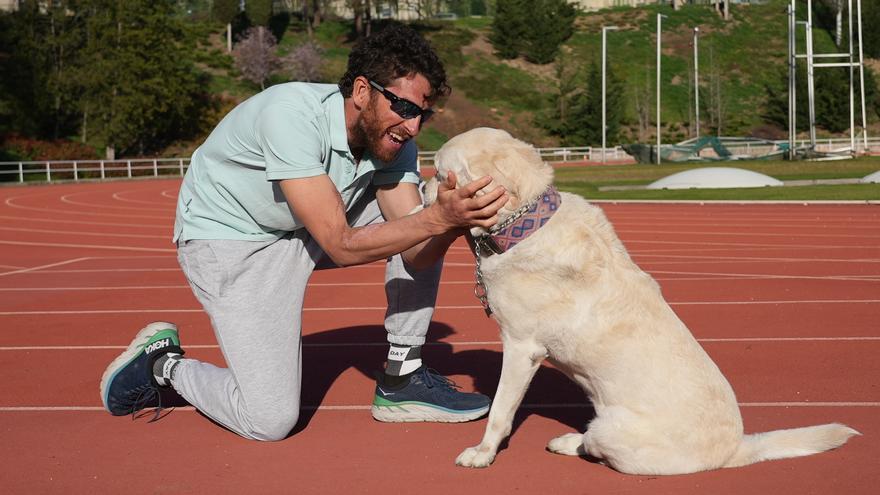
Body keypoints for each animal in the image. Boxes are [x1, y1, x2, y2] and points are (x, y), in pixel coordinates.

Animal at [426, 129, 860, 476]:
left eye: (441, 175)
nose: (423, 189)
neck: (523, 224)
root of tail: (735, 450)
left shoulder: (521, 347)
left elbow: (501, 411)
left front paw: (482, 454)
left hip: (610, 429)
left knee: (596, 448)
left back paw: (571, 442)